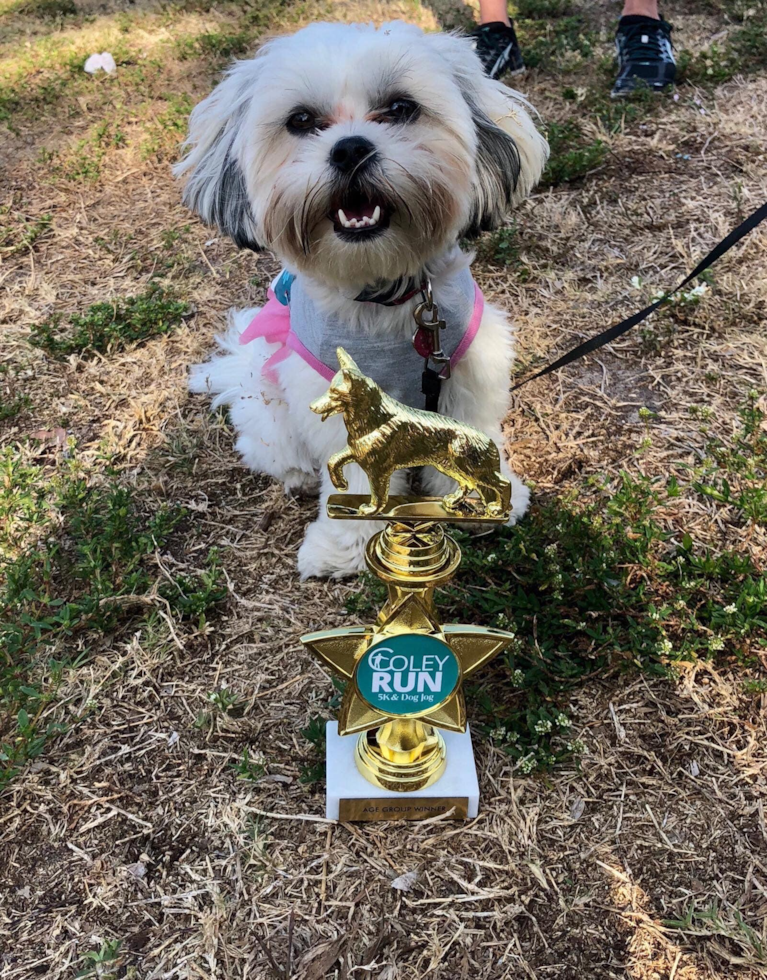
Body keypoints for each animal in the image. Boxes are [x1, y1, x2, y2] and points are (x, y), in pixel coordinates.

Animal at [308, 350, 512, 520]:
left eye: (333, 393)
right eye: (329, 390)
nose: (311, 406)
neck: (374, 420)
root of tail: (488, 441)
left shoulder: (378, 471)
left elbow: (379, 496)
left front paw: (371, 510)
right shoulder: (354, 451)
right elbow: (333, 461)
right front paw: (341, 484)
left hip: (471, 469)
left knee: (503, 483)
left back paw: (497, 510)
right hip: (450, 466)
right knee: (469, 485)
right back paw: (454, 502)